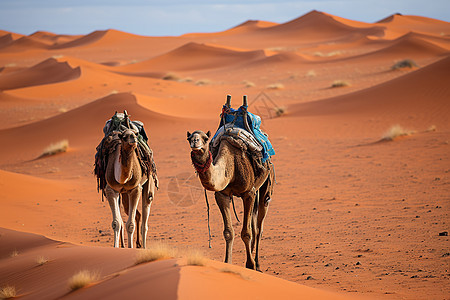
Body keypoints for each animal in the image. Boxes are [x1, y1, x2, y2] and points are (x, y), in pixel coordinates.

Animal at [96, 112, 157, 248]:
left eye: (135, 134)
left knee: (146, 210)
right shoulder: (111, 190)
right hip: (123, 195)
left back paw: (143, 246)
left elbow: (130, 224)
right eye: (124, 137)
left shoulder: (135, 189)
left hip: (148, 180)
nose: (133, 139)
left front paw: (131, 248)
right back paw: (132, 244)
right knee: (135, 214)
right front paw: (117, 247)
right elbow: (116, 223)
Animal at [186, 99, 274, 270]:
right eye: (189, 138)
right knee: (254, 224)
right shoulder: (222, 194)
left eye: (205, 138)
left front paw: (250, 265)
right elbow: (228, 232)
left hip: (265, 186)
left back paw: (257, 263)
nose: (194, 141)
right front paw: (228, 262)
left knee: (258, 227)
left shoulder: (249, 193)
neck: (231, 166)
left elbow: (246, 232)